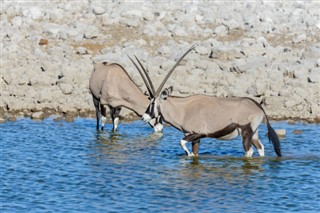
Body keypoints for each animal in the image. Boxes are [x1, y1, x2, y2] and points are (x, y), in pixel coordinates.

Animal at [134, 46, 282, 157]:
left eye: (153, 103)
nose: (144, 117)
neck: (183, 109)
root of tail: (258, 107)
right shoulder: (195, 138)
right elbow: (194, 154)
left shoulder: (197, 134)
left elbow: (182, 143)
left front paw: (187, 154)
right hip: (254, 133)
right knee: (261, 148)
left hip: (246, 132)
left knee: (249, 151)